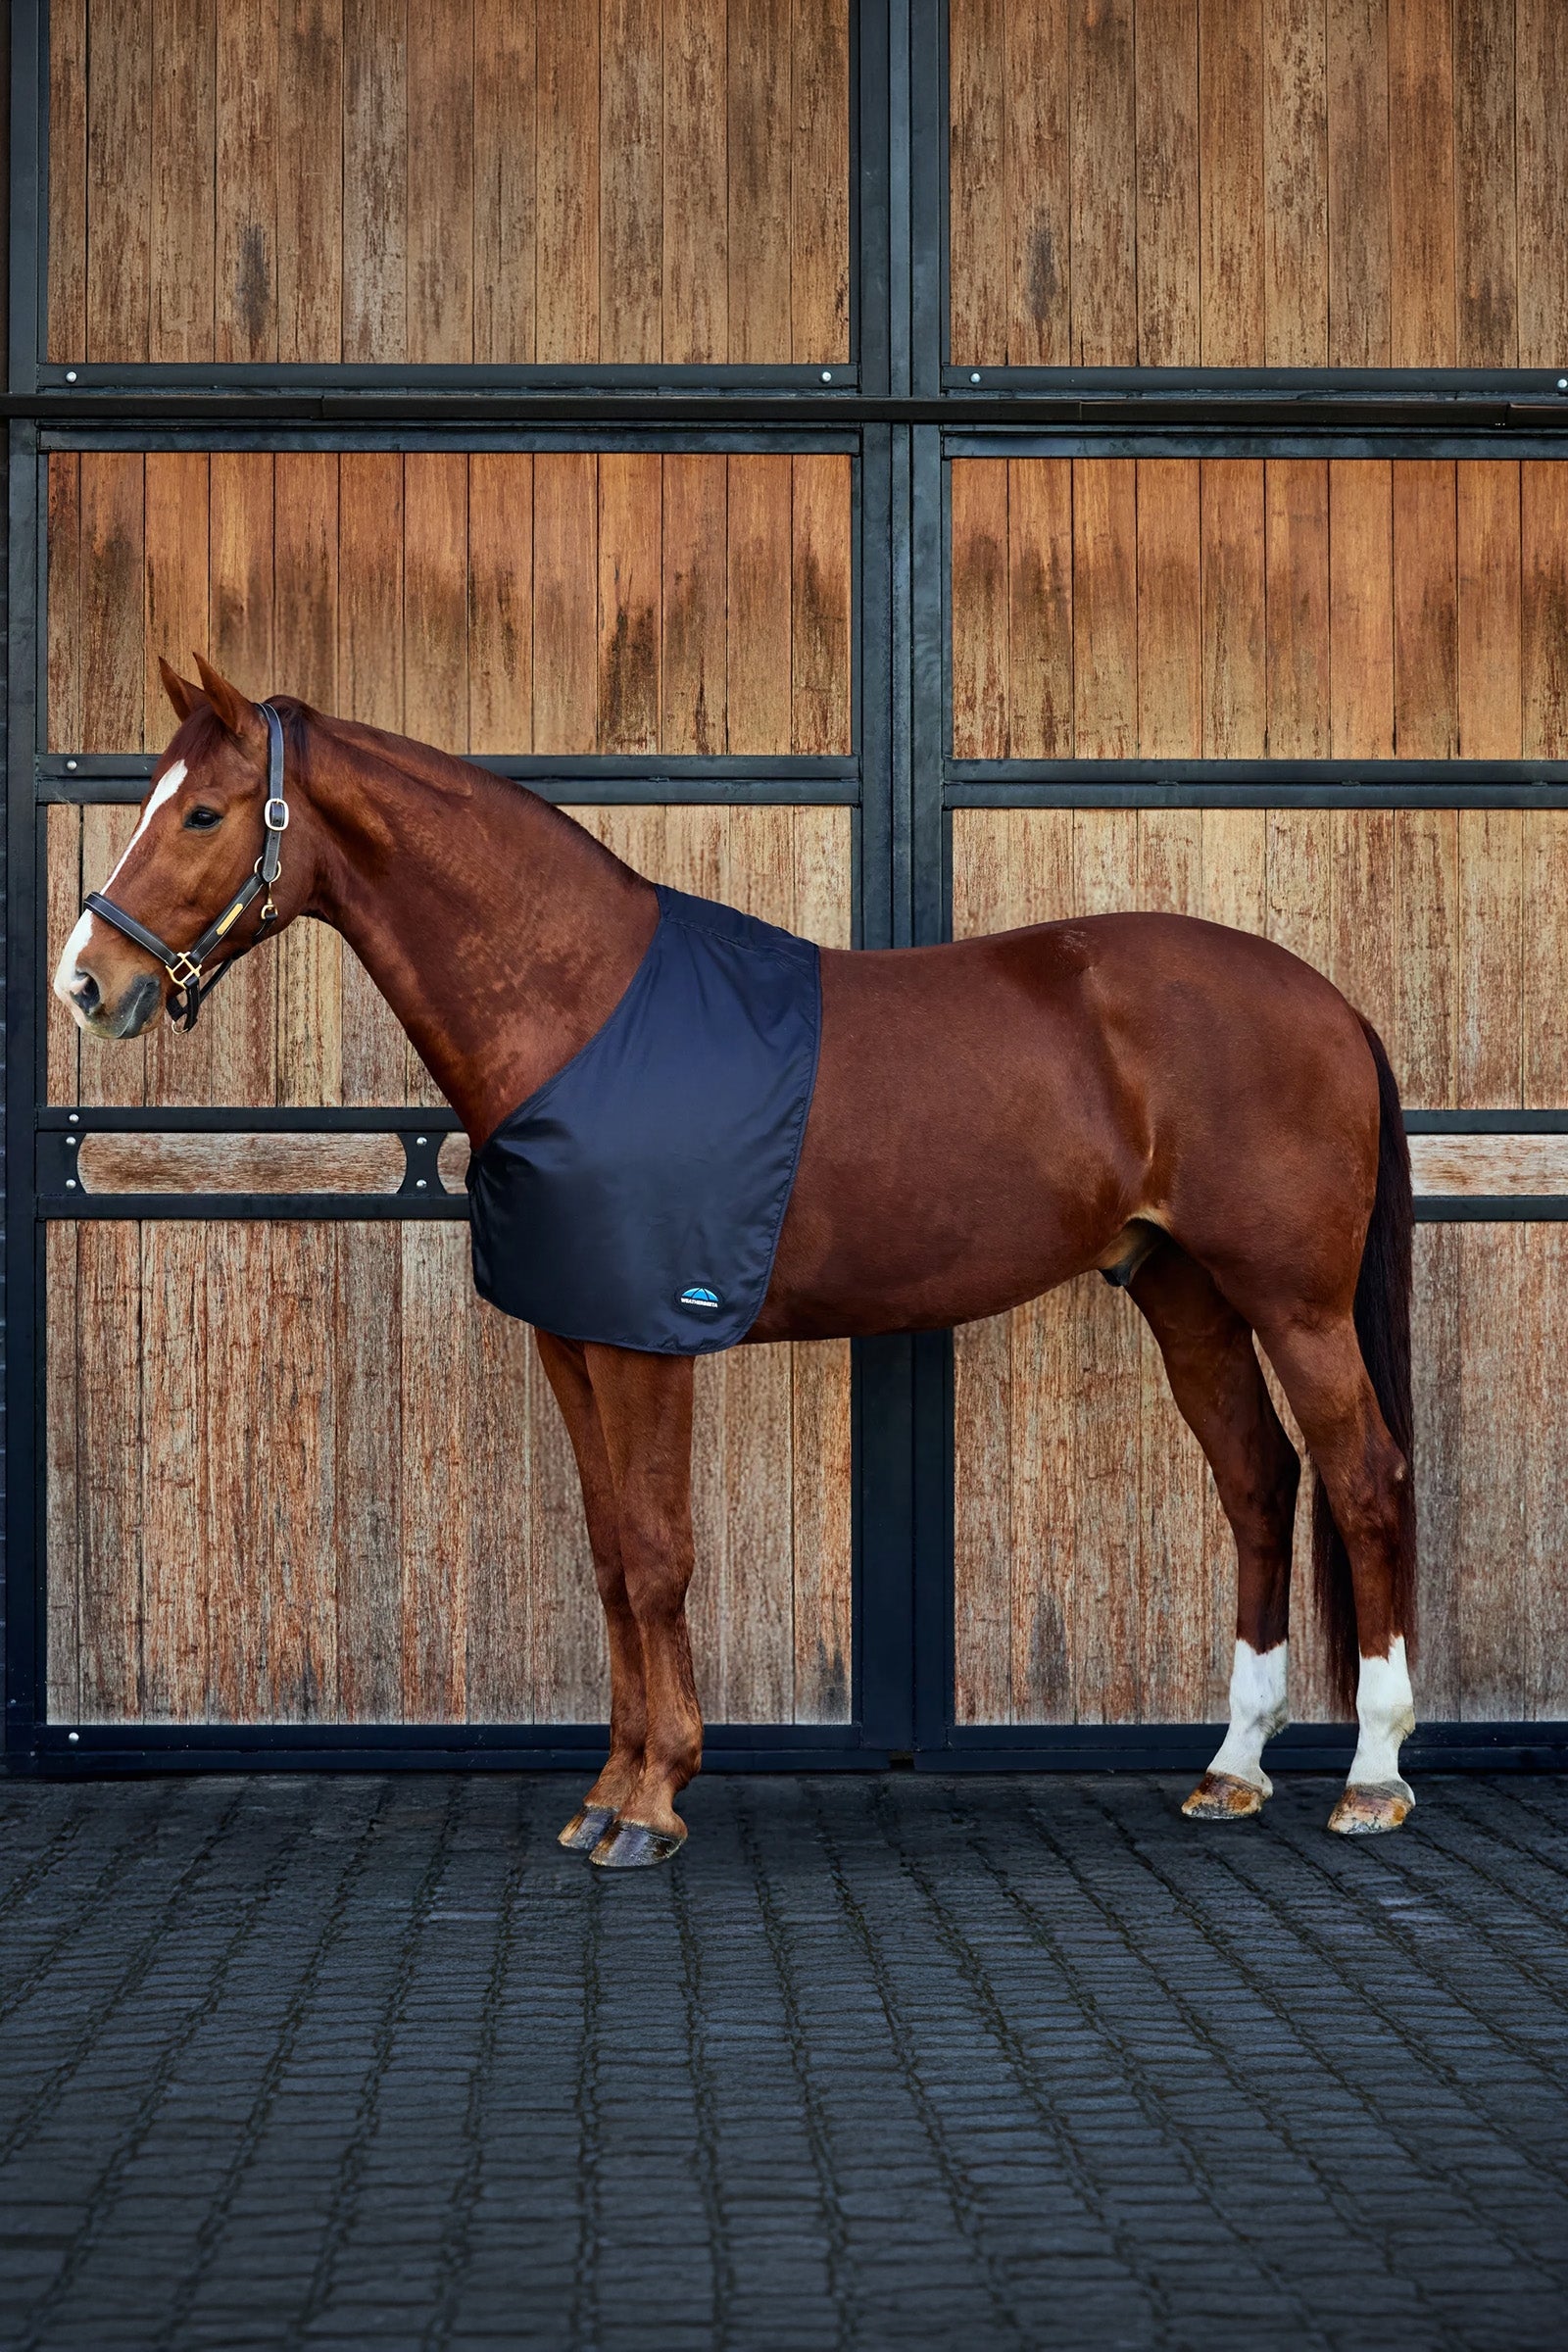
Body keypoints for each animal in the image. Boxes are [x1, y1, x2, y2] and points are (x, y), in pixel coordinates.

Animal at [55, 656, 1419, 1866]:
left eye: (204, 812)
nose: (87, 983)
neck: (583, 1013)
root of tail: (1330, 1004)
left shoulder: (649, 1341)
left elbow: (660, 1556)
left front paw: (653, 1803)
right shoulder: (574, 1339)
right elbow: (612, 1560)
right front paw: (606, 1792)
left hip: (1295, 1303)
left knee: (1363, 1481)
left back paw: (1371, 1777)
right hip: (1185, 1292)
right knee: (1257, 1484)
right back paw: (1232, 1769)